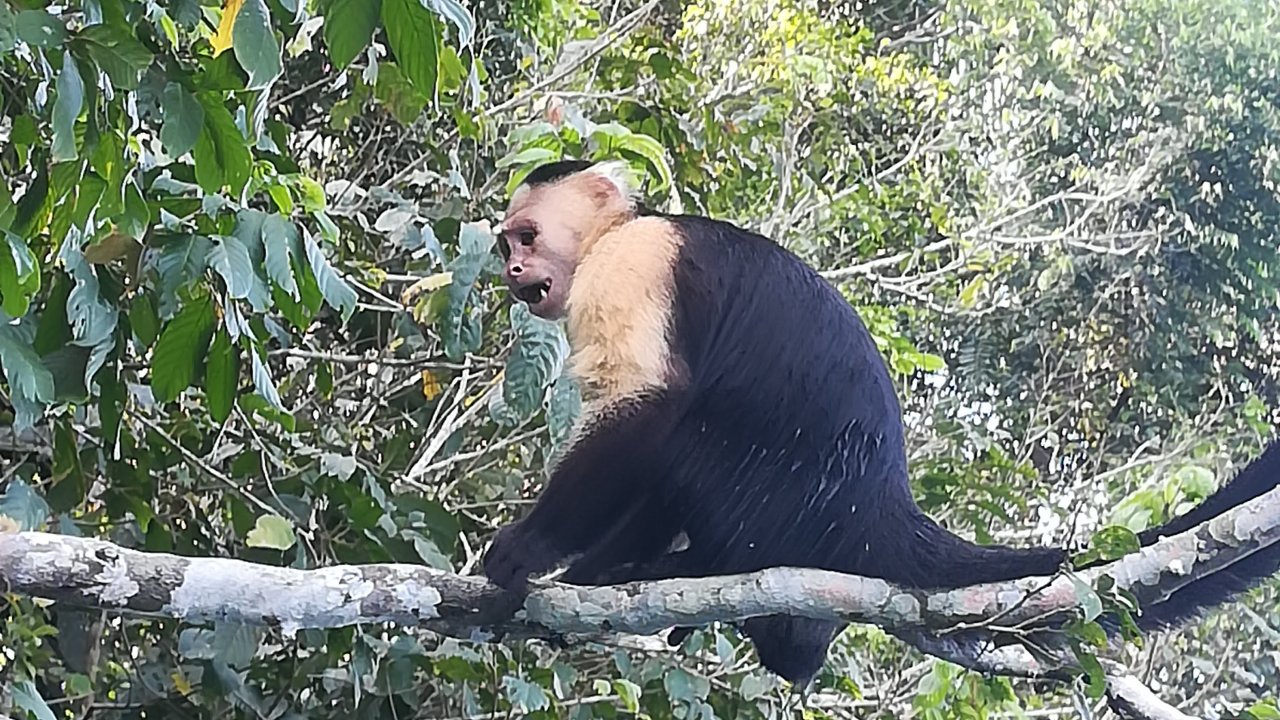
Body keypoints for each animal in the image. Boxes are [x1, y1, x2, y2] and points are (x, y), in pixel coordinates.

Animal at [481, 158, 1280, 686]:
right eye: (506, 245)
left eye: (526, 236)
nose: (512, 274)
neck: (620, 230)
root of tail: (879, 501)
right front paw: (591, 572)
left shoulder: (632, 264)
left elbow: (649, 405)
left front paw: (531, 550)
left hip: (767, 496)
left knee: (686, 439)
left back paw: (698, 574)